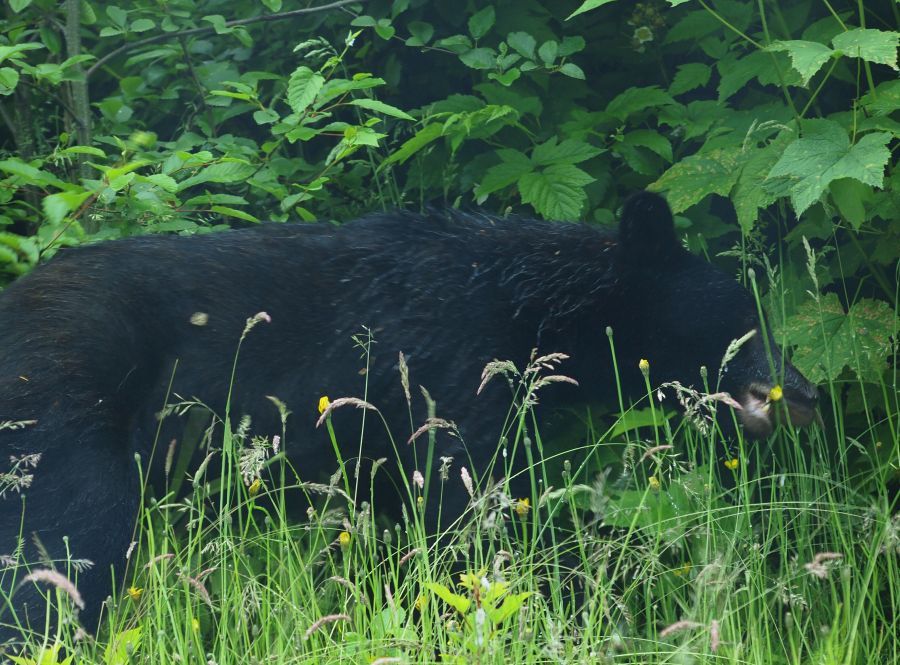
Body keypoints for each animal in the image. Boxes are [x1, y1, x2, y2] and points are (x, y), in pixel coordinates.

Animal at [0, 189, 816, 636]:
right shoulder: (447, 368)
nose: (804, 391)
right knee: (64, 551)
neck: (538, 307)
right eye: (748, 316)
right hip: (62, 417)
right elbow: (474, 508)